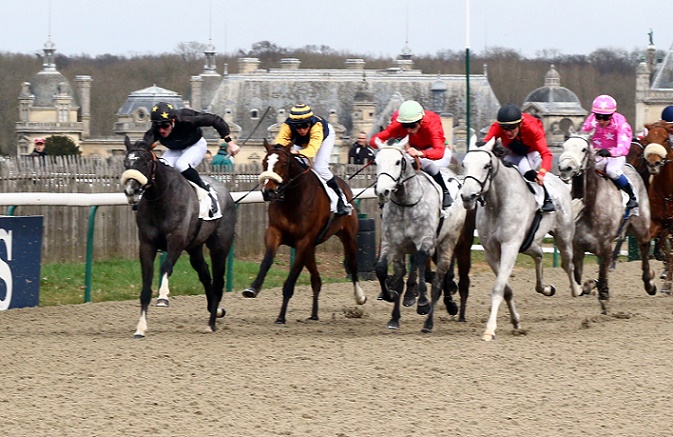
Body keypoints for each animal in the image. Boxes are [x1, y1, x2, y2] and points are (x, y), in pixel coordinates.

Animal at [121, 136, 236, 338]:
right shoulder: (146, 244)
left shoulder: (176, 240)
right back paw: (215, 311)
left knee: (218, 280)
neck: (160, 199)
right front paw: (140, 328)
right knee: (205, 274)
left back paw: (211, 323)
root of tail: (225, 192)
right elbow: (145, 284)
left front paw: (163, 297)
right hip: (195, 247)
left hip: (220, 246)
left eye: (145, 162)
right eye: (126, 163)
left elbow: (166, 266)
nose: (131, 191)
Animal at [242, 141, 368, 322]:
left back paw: (359, 296)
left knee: (352, 265)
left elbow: (291, 279)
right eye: (265, 162)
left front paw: (281, 317)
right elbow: (266, 261)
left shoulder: (303, 241)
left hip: (348, 237)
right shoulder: (275, 233)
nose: (269, 192)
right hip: (311, 249)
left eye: (283, 163)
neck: (293, 199)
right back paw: (314, 315)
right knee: (317, 280)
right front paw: (253, 289)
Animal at [372, 138, 472, 332]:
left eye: (397, 162)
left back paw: (430, 321)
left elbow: (420, 263)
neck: (406, 203)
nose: (382, 191)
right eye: (376, 161)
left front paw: (422, 302)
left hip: (449, 241)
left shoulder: (425, 241)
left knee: (439, 280)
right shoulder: (391, 243)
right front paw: (391, 298)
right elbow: (382, 270)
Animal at [460, 139, 580, 340]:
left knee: (567, 263)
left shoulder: (510, 246)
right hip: (529, 243)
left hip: (563, 235)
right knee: (539, 255)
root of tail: (561, 181)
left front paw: (489, 330)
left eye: (486, 166)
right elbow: (506, 289)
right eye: (464, 164)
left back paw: (578, 289)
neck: (498, 203)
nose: (467, 196)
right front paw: (515, 321)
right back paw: (546, 288)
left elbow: (498, 288)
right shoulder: (491, 252)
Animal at [556, 133, 656, 314]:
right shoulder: (577, 248)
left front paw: (604, 300)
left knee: (644, 248)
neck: (589, 207)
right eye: (564, 146)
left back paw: (649, 282)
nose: (565, 168)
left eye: (583, 149)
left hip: (641, 226)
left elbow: (603, 276)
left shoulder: (606, 247)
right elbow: (580, 282)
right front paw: (591, 284)